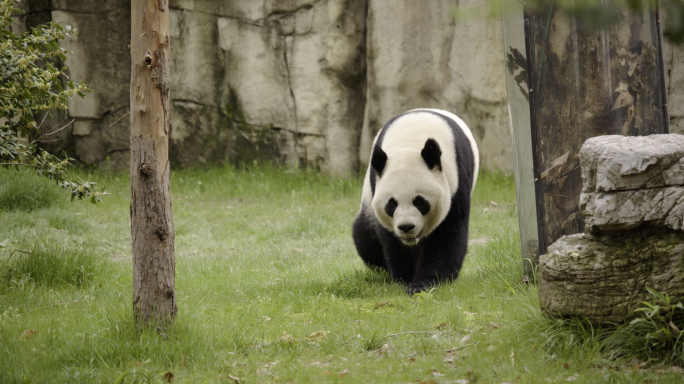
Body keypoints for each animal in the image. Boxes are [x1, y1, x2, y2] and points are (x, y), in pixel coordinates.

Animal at [356, 108, 478, 294]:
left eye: (420, 202)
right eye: (392, 204)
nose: (406, 227)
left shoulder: (456, 179)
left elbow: (447, 233)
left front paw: (426, 282)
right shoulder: (376, 184)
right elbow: (392, 239)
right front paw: (405, 279)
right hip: (368, 202)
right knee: (365, 238)